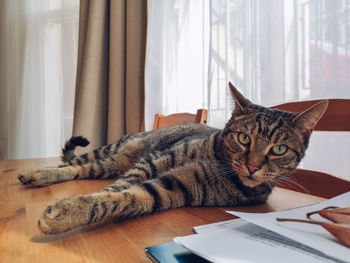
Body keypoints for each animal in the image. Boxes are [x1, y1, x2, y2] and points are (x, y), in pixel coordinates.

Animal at [17, 83, 328, 234]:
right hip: (114, 154)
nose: (252, 167)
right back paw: (38, 173)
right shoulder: (156, 160)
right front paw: (76, 205)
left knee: (81, 169)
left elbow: (129, 197)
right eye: (243, 139)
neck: (219, 162)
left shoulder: (176, 187)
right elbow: (118, 188)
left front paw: (72, 210)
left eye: (279, 150)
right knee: (74, 165)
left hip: (112, 163)